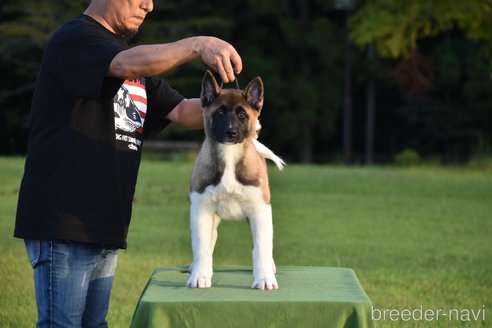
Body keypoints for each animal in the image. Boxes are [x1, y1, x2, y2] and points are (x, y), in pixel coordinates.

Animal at [186, 71, 284, 290]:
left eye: (242, 115)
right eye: (220, 113)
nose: (230, 132)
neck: (229, 156)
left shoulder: (260, 210)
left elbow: (261, 248)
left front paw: (264, 278)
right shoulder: (201, 210)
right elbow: (202, 247)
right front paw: (200, 275)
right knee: (210, 240)